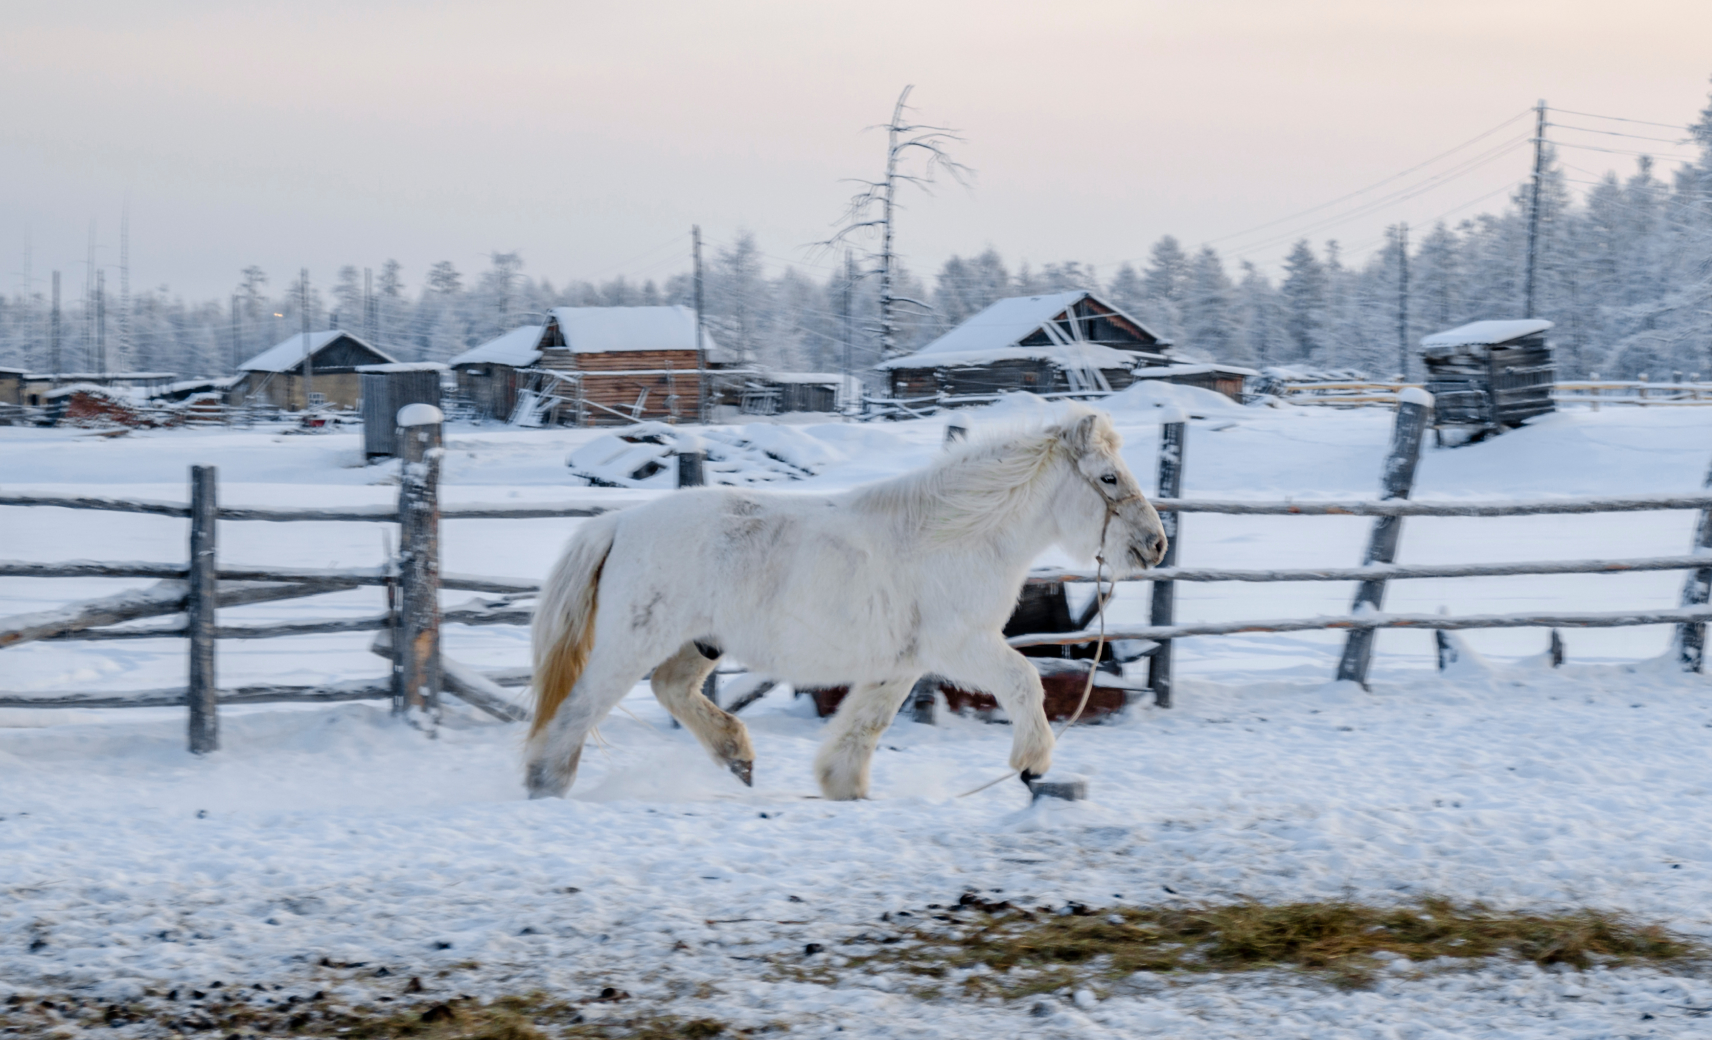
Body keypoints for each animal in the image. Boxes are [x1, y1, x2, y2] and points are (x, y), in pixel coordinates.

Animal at [520, 402, 1164, 801]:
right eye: (1108, 478)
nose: (1155, 543)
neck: (957, 536)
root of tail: (619, 523)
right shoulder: (961, 646)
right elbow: (1026, 681)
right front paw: (1033, 765)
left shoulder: (902, 663)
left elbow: (866, 724)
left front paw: (843, 786)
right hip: (633, 645)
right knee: (577, 710)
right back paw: (545, 785)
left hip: (698, 644)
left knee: (670, 690)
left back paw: (738, 756)